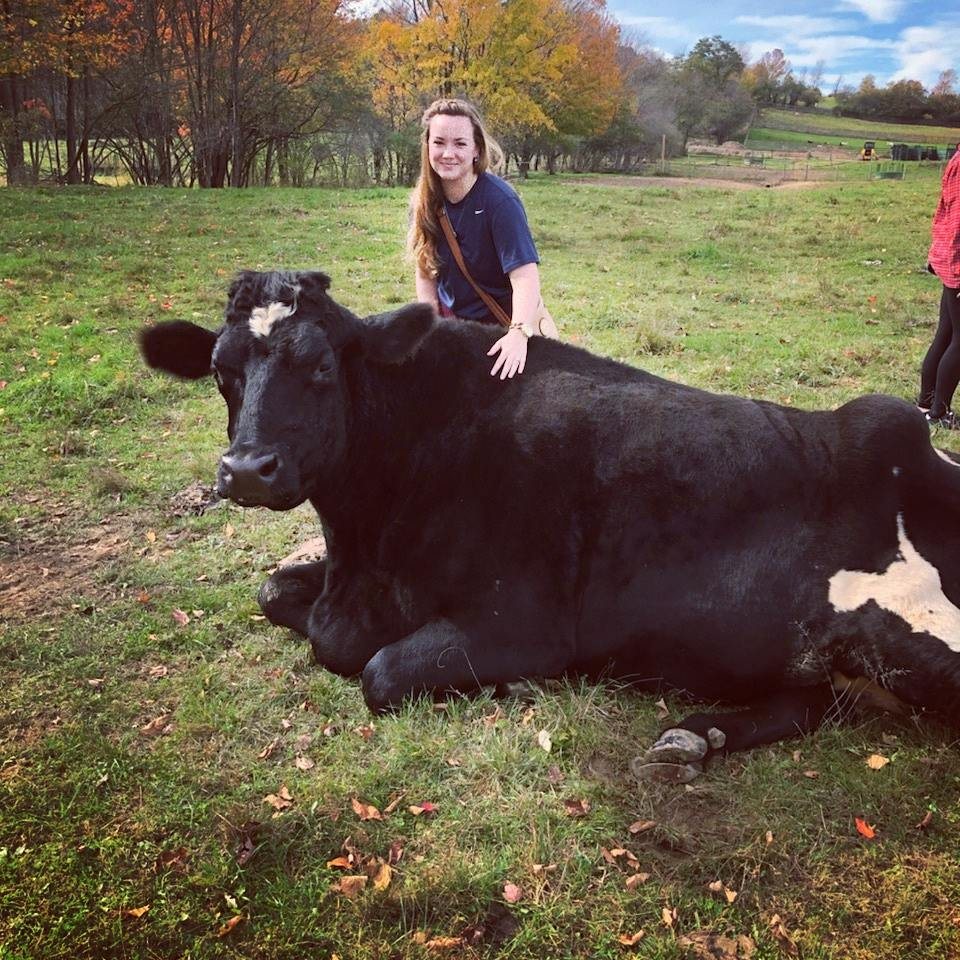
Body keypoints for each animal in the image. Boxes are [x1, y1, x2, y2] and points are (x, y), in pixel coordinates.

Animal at [140, 269, 960, 782]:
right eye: (221, 372)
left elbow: (377, 671)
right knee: (810, 702)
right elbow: (275, 592)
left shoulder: (524, 624)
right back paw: (696, 736)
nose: (246, 469)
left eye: (319, 367)